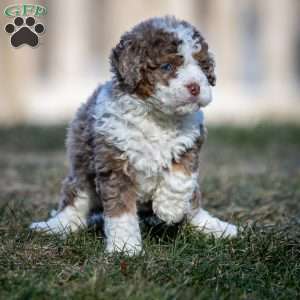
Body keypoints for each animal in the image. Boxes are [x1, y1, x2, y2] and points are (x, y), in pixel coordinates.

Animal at [30, 15, 237, 255]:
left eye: (202, 67)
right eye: (166, 66)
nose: (195, 87)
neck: (157, 117)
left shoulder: (190, 144)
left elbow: (180, 177)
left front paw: (170, 208)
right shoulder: (114, 162)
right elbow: (121, 212)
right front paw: (125, 248)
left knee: (193, 205)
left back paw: (216, 228)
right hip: (82, 174)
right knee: (75, 203)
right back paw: (53, 226)